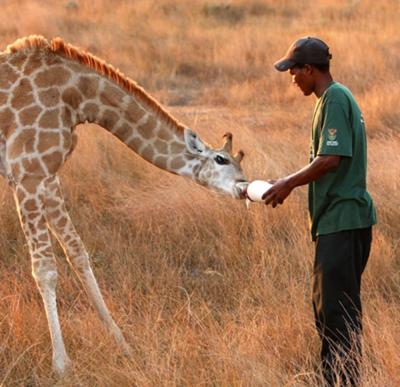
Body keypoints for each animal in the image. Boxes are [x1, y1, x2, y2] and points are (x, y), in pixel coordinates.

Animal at [0, 35, 247, 376]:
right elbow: (45, 269)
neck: (77, 97)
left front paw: (122, 343)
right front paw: (61, 364)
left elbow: (78, 254)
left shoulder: (48, 177)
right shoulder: (28, 174)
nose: (245, 186)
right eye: (221, 159)